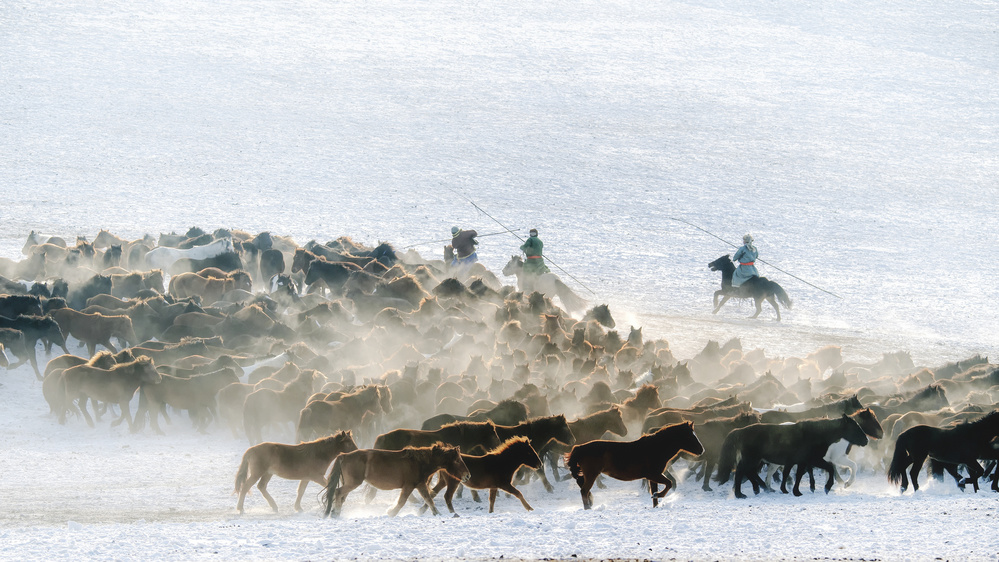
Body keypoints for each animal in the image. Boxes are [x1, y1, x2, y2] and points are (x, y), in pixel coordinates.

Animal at [324, 442, 472, 516]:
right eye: (457, 460)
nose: (467, 475)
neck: (419, 462)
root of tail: (344, 455)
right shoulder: (409, 486)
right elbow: (402, 501)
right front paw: (391, 512)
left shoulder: (420, 485)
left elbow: (429, 500)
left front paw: (437, 513)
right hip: (352, 483)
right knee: (338, 492)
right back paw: (335, 513)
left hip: (349, 483)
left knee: (340, 496)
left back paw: (334, 512)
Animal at [572, 420, 704, 508]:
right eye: (690, 436)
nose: (701, 450)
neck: (657, 448)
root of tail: (579, 448)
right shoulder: (653, 474)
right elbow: (669, 483)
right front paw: (657, 495)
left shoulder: (653, 477)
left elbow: (657, 490)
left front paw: (655, 500)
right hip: (591, 474)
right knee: (584, 491)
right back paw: (587, 509)